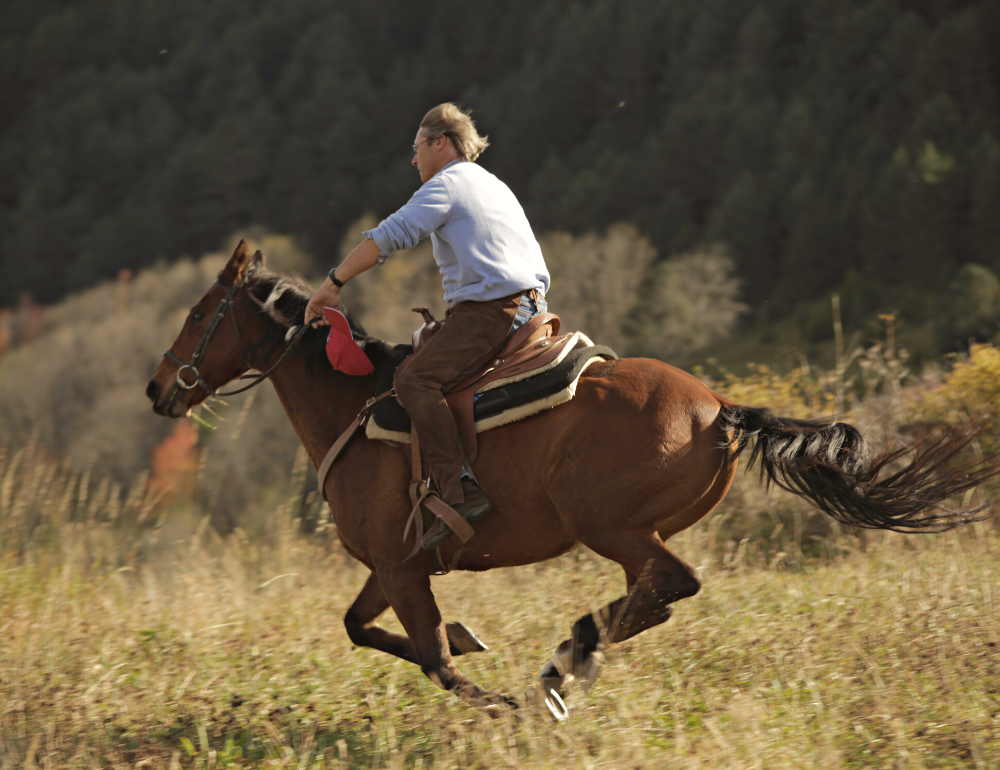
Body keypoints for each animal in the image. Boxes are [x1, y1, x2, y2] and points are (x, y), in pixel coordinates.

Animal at [145, 243, 996, 716]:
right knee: (655, 597)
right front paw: (478, 644)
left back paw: (563, 661)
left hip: (610, 525)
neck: (355, 407)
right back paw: (572, 652)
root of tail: (719, 409)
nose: (158, 388)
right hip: (629, 531)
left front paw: (504, 701)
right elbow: (368, 631)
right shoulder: (394, 567)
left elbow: (436, 661)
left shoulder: (401, 567)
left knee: (670, 585)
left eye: (197, 313)